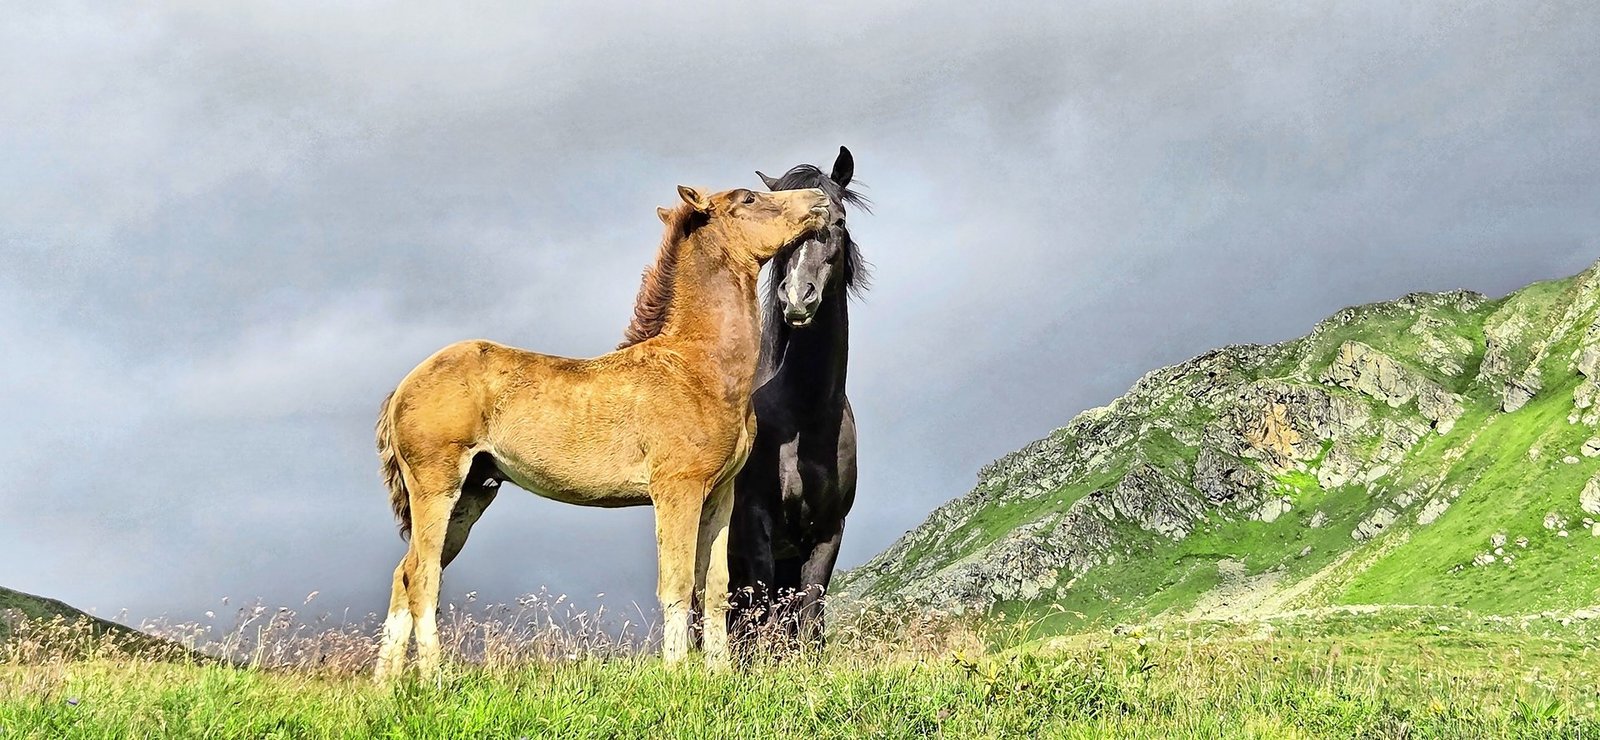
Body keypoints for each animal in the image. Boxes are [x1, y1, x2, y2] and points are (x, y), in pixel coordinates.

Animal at [371, 184, 831, 678]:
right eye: (747, 198)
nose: (819, 200)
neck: (698, 368)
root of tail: (402, 388)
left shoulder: (720, 494)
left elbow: (715, 590)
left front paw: (720, 676)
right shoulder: (677, 489)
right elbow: (677, 583)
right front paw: (676, 675)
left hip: (474, 492)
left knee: (405, 573)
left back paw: (386, 686)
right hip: (436, 485)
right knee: (423, 576)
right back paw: (435, 679)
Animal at [728, 146, 869, 651]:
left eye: (840, 220)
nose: (797, 298)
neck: (802, 417)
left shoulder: (827, 534)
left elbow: (808, 626)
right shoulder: (755, 528)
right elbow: (760, 628)